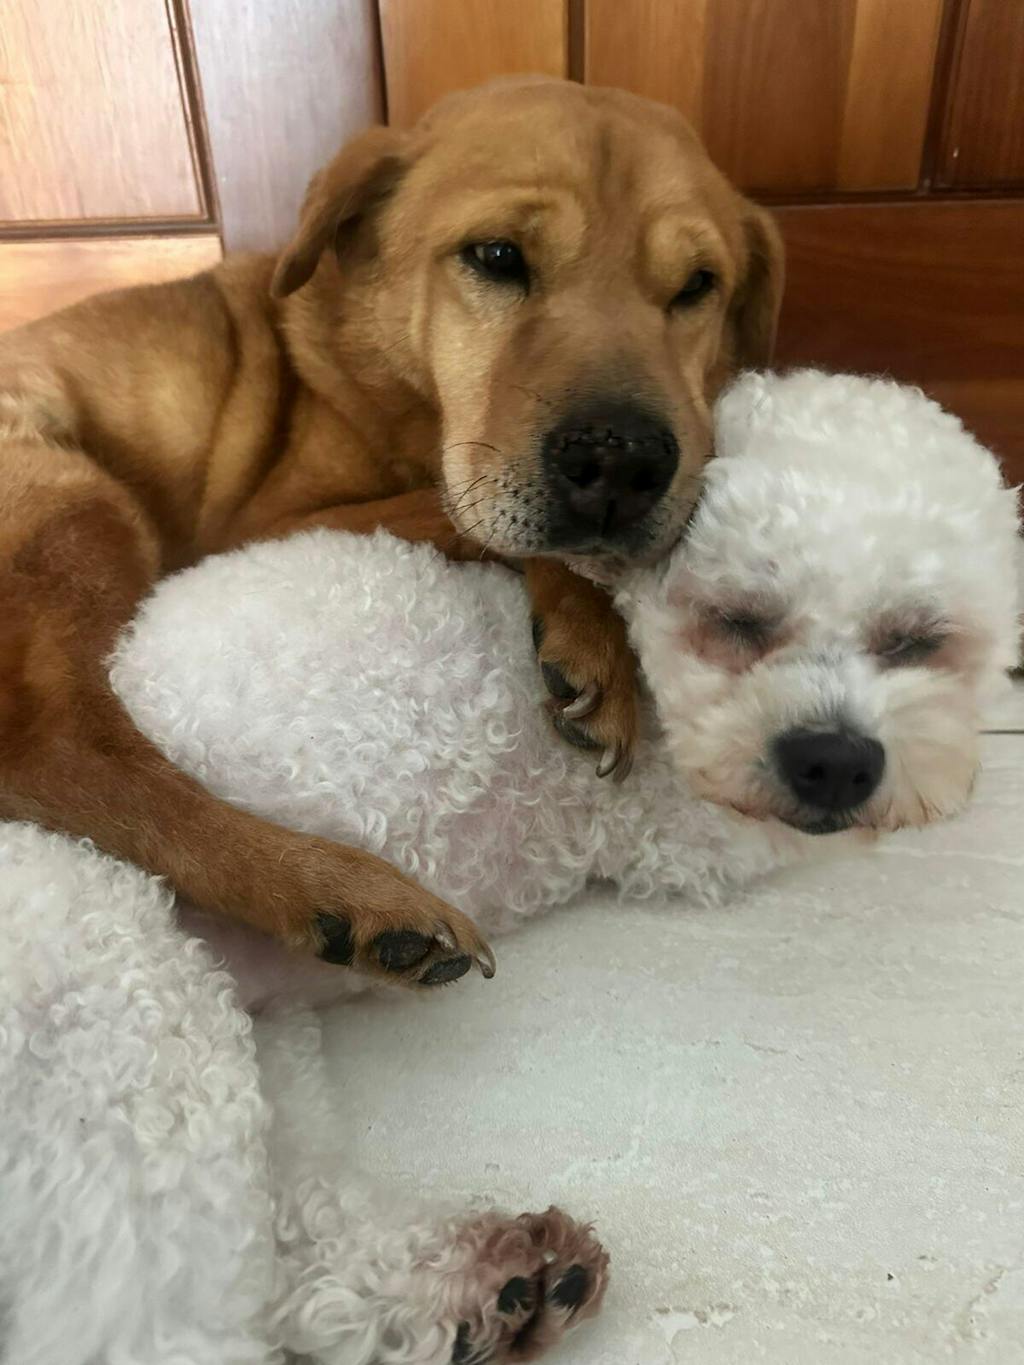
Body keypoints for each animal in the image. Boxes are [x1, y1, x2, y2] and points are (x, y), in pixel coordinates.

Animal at [0, 76, 783, 985]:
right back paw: (336, 889)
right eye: (497, 256)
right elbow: (467, 516)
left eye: (697, 285)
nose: (622, 462)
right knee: (54, 745)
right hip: (83, 503)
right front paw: (594, 634)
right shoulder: (273, 520)